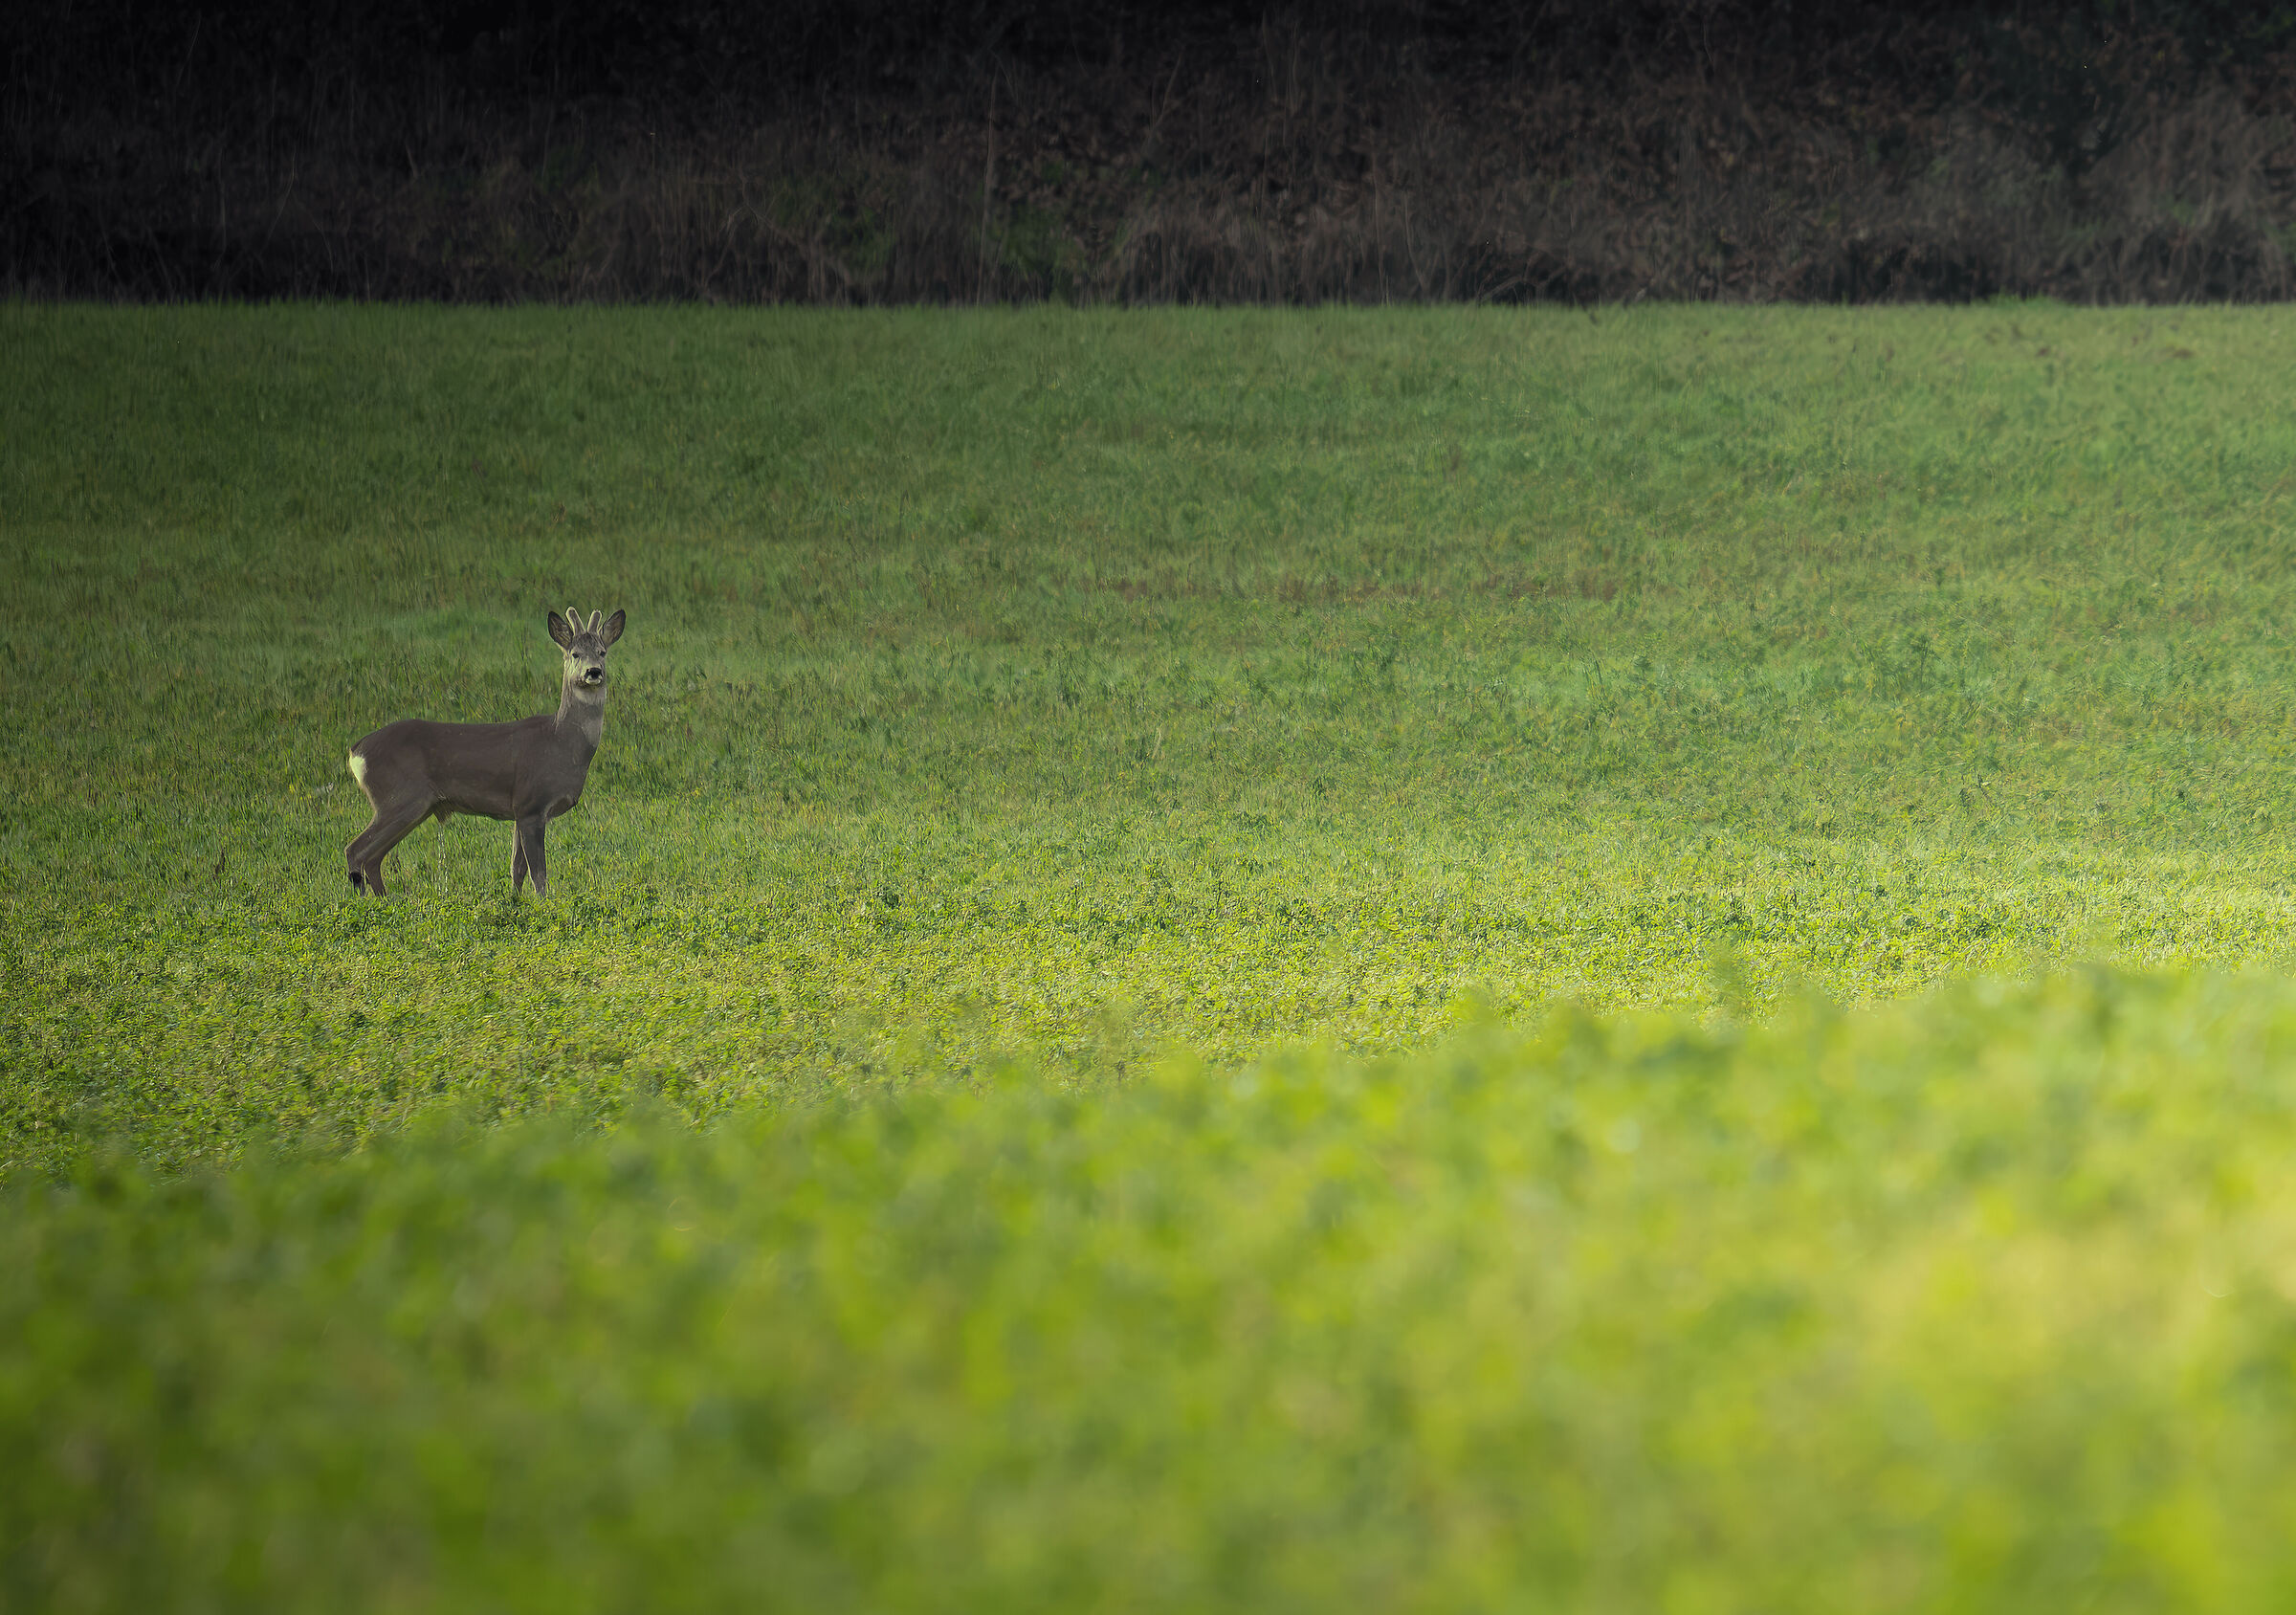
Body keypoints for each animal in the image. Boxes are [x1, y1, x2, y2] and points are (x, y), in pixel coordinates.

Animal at [345, 608, 626, 900]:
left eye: (602, 652)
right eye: (575, 654)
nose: (593, 672)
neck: (562, 742)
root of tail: (355, 751)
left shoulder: (520, 811)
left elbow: (517, 869)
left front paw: (515, 901)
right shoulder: (531, 803)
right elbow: (539, 873)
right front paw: (544, 904)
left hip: (414, 805)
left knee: (373, 857)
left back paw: (384, 900)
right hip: (399, 797)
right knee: (355, 850)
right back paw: (363, 902)